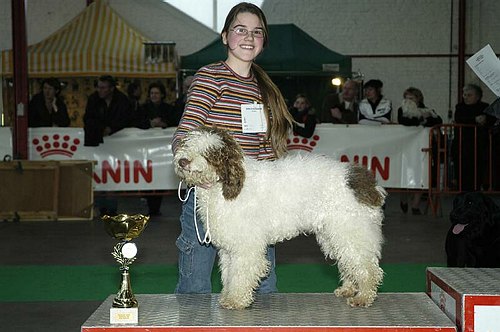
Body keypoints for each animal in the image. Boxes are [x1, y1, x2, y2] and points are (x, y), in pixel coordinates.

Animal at [173, 126, 386, 310]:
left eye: (209, 152)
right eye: (187, 144)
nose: (183, 161)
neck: (224, 186)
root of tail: (365, 182)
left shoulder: (246, 246)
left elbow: (240, 274)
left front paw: (236, 300)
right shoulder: (229, 248)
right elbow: (228, 273)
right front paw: (227, 296)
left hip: (351, 231)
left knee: (367, 267)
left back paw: (363, 296)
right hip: (334, 235)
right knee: (350, 263)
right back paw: (349, 289)